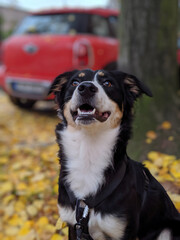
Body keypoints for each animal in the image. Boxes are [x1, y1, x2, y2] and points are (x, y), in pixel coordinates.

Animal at [49, 69, 180, 240]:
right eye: (75, 82)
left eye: (108, 83)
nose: (86, 88)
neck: (88, 150)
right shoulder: (73, 225)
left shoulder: (123, 229)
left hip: (168, 230)